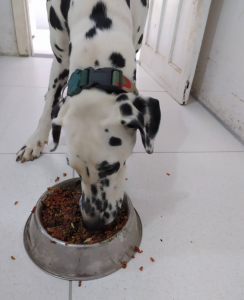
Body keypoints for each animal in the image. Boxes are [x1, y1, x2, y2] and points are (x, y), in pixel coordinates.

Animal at [16, 0, 161, 230]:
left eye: (111, 168)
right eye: (73, 167)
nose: (92, 223)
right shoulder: (60, 60)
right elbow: (49, 107)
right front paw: (35, 141)